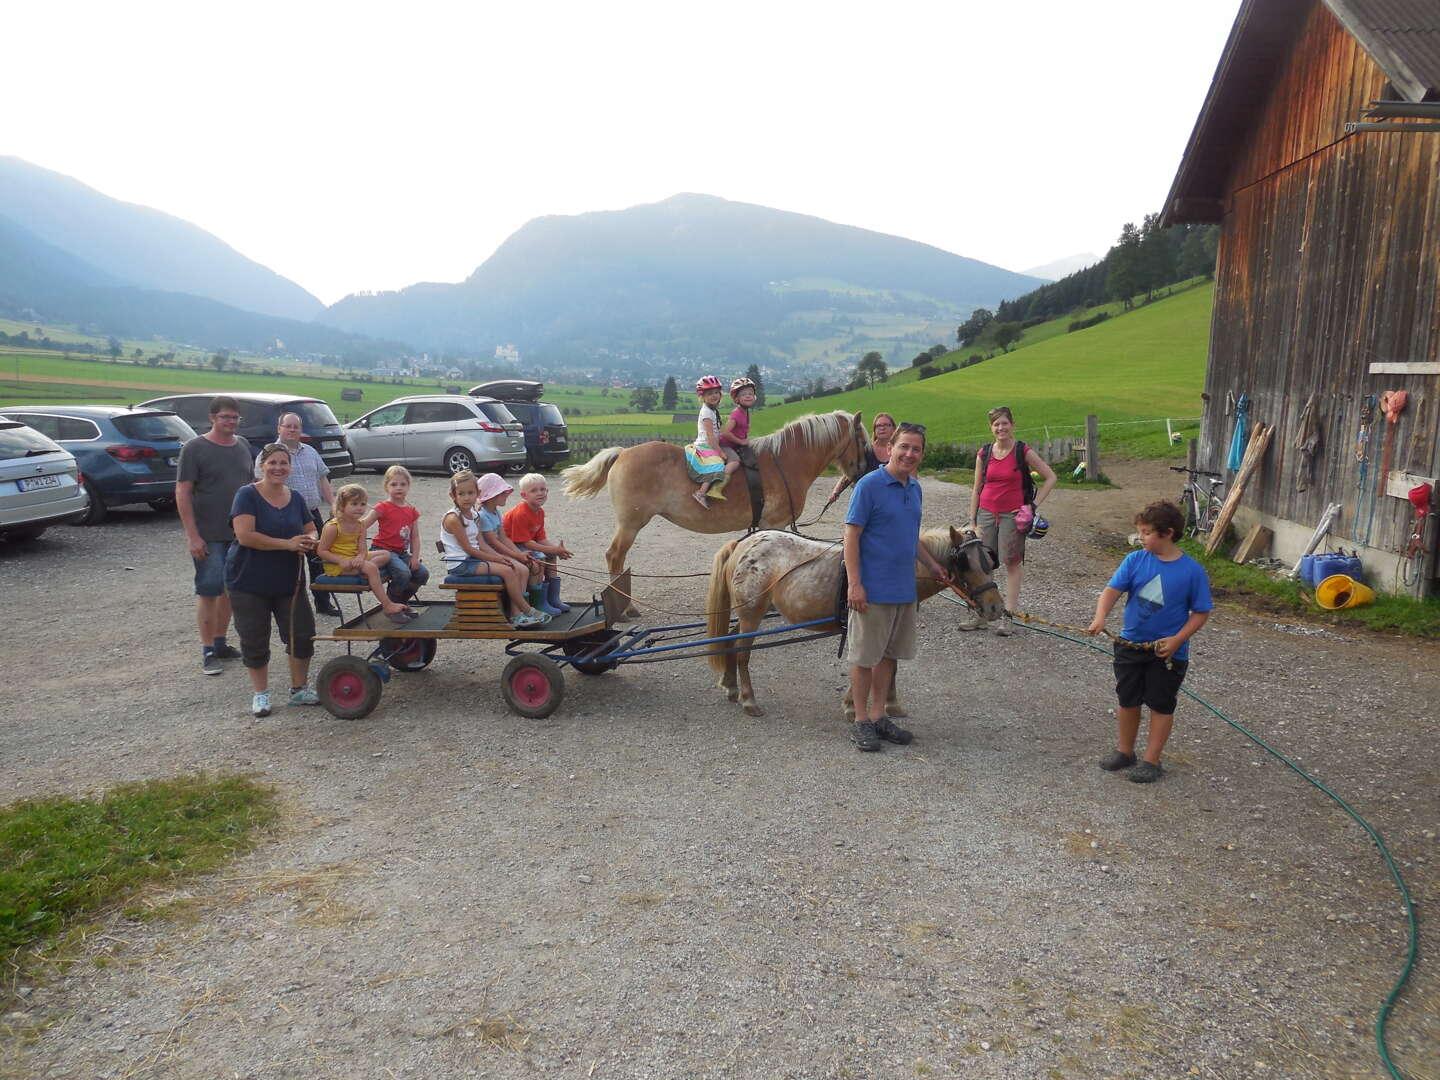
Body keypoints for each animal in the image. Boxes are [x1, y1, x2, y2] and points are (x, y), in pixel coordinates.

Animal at [564, 408, 869, 616]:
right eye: (863, 440)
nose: (863, 472)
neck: (784, 461)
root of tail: (624, 452)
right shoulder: (774, 523)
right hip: (631, 523)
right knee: (615, 556)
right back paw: (625, 608)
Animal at [705, 527, 1002, 720]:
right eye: (964, 563)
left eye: (989, 561)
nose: (996, 607)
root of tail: (743, 544)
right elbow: (869, 665)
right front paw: (852, 705)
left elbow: (892, 666)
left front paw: (892, 704)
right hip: (751, 613)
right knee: (743, 653)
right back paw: (748, 699)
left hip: (748, 614)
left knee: (730, 641)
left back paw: (731, 685)